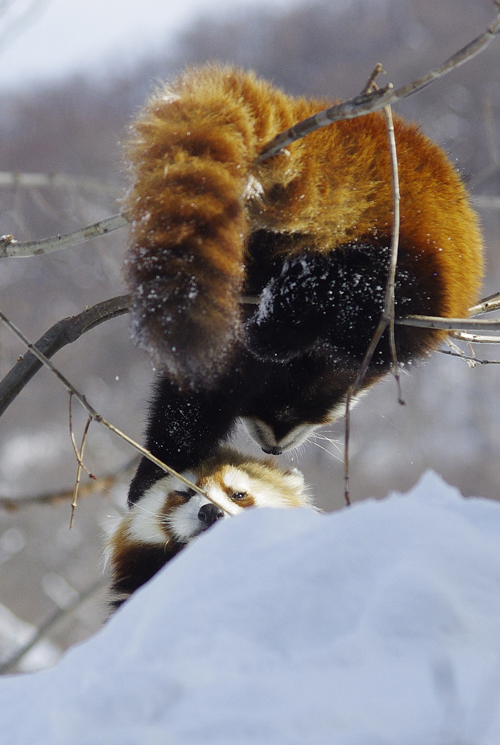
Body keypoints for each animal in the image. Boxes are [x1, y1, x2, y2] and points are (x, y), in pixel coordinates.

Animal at [121, 65, 484, 506]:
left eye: (313, 410)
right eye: (261, 405)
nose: (273, 447)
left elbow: (190, 405)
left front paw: (159, 468)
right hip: (415, 259)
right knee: (366, 291)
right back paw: (285, 315)